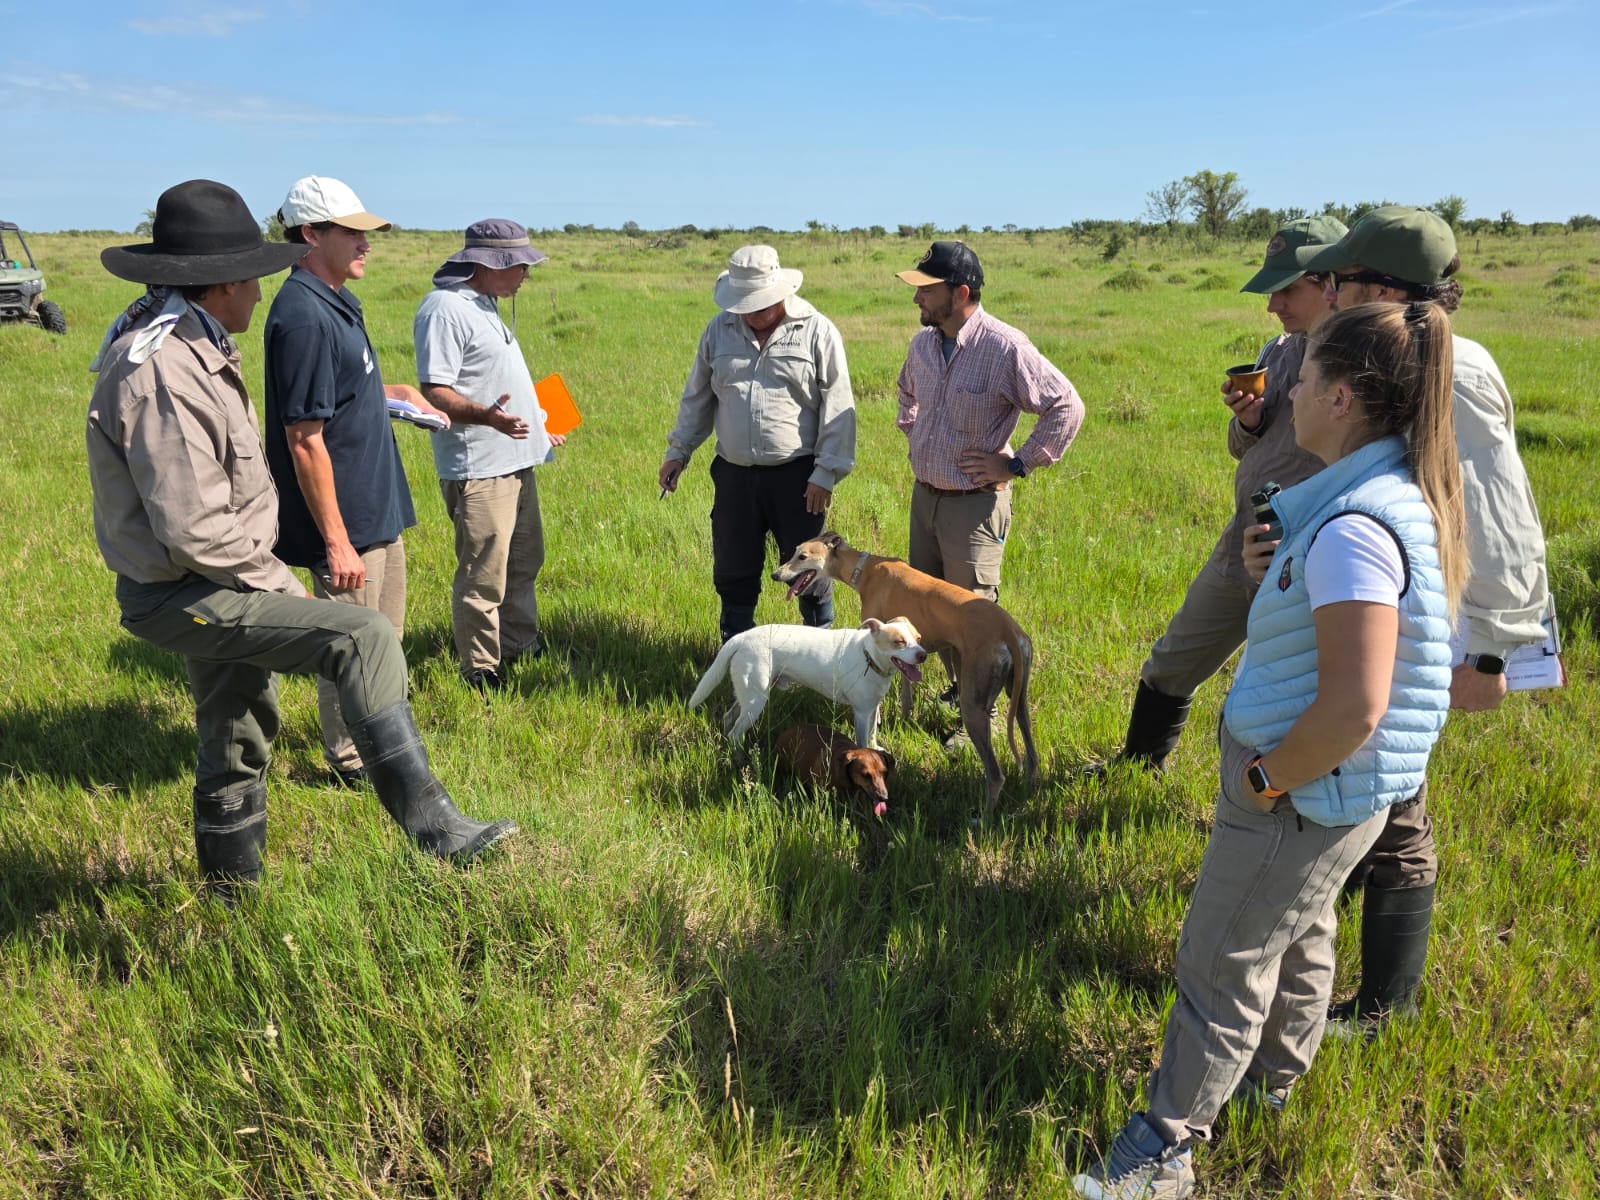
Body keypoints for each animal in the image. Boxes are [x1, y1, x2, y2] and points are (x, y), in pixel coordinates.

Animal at [688, 617, 927, 749]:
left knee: (728, 719)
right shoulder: (861, 712)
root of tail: (741, 637)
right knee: (735, 733)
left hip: (747, 694)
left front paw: (876, 748)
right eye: (899, 642)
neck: (868, 655)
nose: (923, 655)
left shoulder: (873, 707)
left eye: (918, 638)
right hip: (755, 700)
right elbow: (862, 740)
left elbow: (872, 733)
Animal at [773, 531, 1038, 816]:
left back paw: (983, 816)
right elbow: (905, 690)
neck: (866, 569)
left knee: (996, 775)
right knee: (1032, 756)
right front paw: (902, 717)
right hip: (1018, 695)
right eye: (795, 551)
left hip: (974, 703)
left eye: (802, 556)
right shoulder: (902, 654)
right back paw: (1026, 793)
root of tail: (1009, 630)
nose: (776, 574)